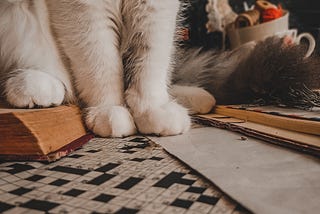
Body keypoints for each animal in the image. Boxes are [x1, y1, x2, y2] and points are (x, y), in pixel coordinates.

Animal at [0, 0, 216, 137]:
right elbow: (102, 65)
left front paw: (153, 108)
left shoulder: (156, 8)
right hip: (19, 16)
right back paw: (36, 87)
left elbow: (150, 64)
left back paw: (195, 98)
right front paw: (109, 110)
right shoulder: (86, 8)